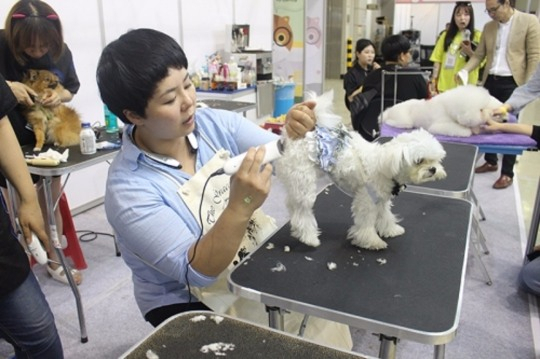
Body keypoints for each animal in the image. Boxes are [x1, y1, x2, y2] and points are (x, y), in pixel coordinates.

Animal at [274, 91, 448, 252]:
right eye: (419, 161)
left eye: (436, 160)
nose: (433, 169)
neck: (386, 164)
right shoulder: (366, 200)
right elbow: (366, 223)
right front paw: (372, 241)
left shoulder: (381, 199)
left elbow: (385, 215)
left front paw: (390, 230)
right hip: (304, 179)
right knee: (302, 211)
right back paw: (309, 237)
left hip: (297, 180)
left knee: (292, 204)